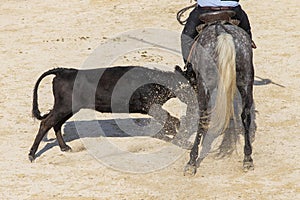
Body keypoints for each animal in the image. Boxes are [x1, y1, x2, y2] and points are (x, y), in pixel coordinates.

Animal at [28, 66, 197, 162]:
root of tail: (63, 71)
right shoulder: (151, 106)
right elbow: (171, 120)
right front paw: (183, 140)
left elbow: (169, 121)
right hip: (64, 107)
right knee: (46, 123)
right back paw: (32, 154)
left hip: (68, 108)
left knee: (56, 124)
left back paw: (64, 147)